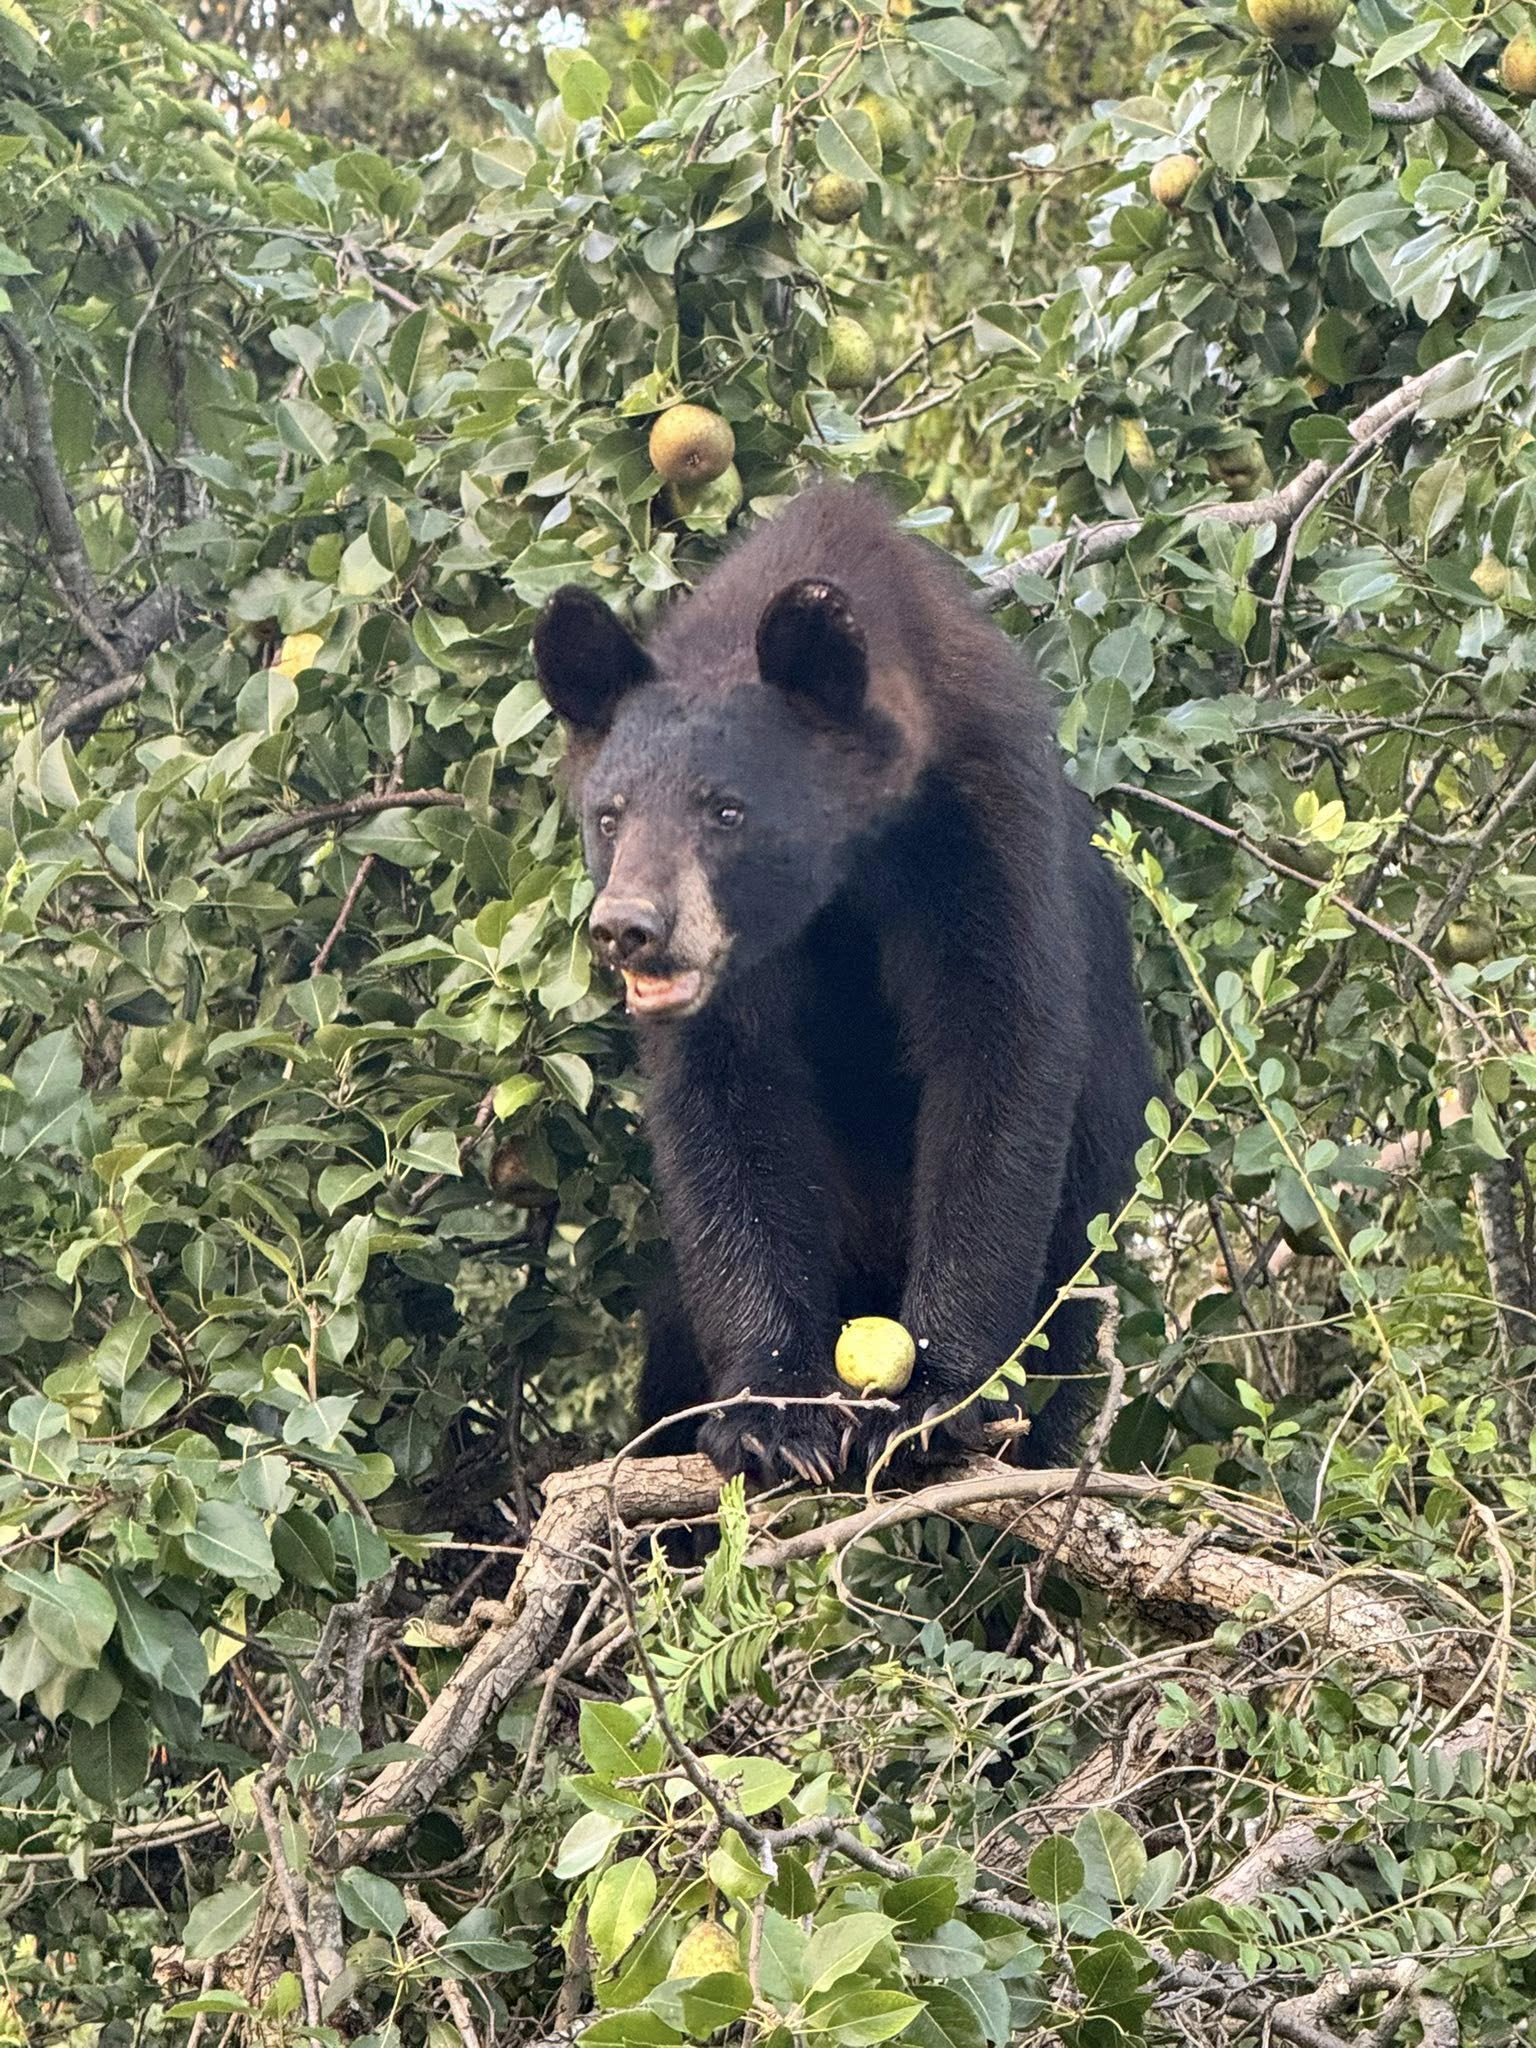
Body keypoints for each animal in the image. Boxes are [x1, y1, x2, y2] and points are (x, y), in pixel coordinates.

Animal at [532, 481, 1156, 1485]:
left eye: (728, 810)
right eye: (609, 815)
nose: (629, 928)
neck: (846, 875)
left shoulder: (979, 832)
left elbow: (999, 1053)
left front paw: (936, 1397)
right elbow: (728, 1102)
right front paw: (771, 1415)